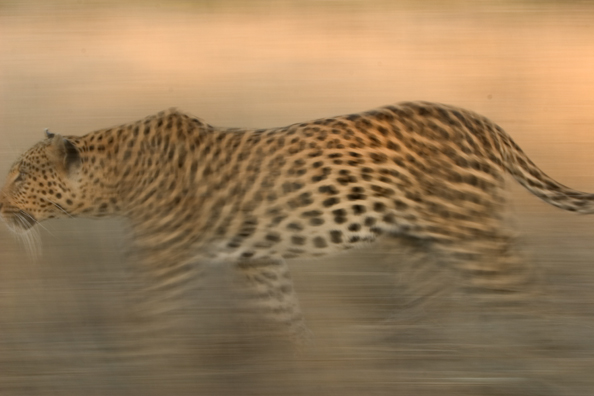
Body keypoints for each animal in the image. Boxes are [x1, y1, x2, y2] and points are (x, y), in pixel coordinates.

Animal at [1, 100, 592, 348]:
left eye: (21, 174)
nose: (0, 204)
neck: (117, 176)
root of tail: (481, 119)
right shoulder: (256, 259)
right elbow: (282, 314)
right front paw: (303, 353)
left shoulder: (163, 262)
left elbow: (147, 321)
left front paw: (137, 363)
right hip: (411, 238)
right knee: (438, 296)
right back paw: (415, 347)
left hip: (465, 228)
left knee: (520, 289)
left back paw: (538, 353)